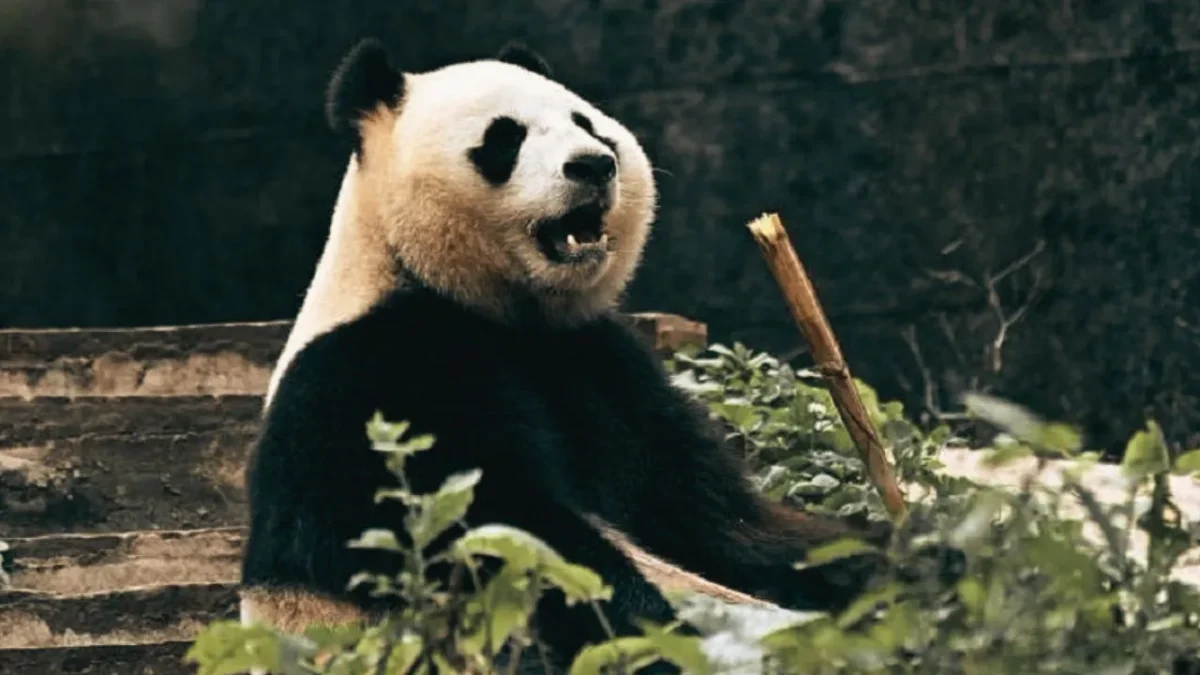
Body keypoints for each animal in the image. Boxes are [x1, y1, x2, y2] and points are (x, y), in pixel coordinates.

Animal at [241, 38, 949, 674]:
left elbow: (720, 522)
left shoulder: (602, 365)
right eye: (505, 137)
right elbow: (491, 536)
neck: (496, 309)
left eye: (587, 124)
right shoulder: (377, 374)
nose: (593, 165)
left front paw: (913, 551)